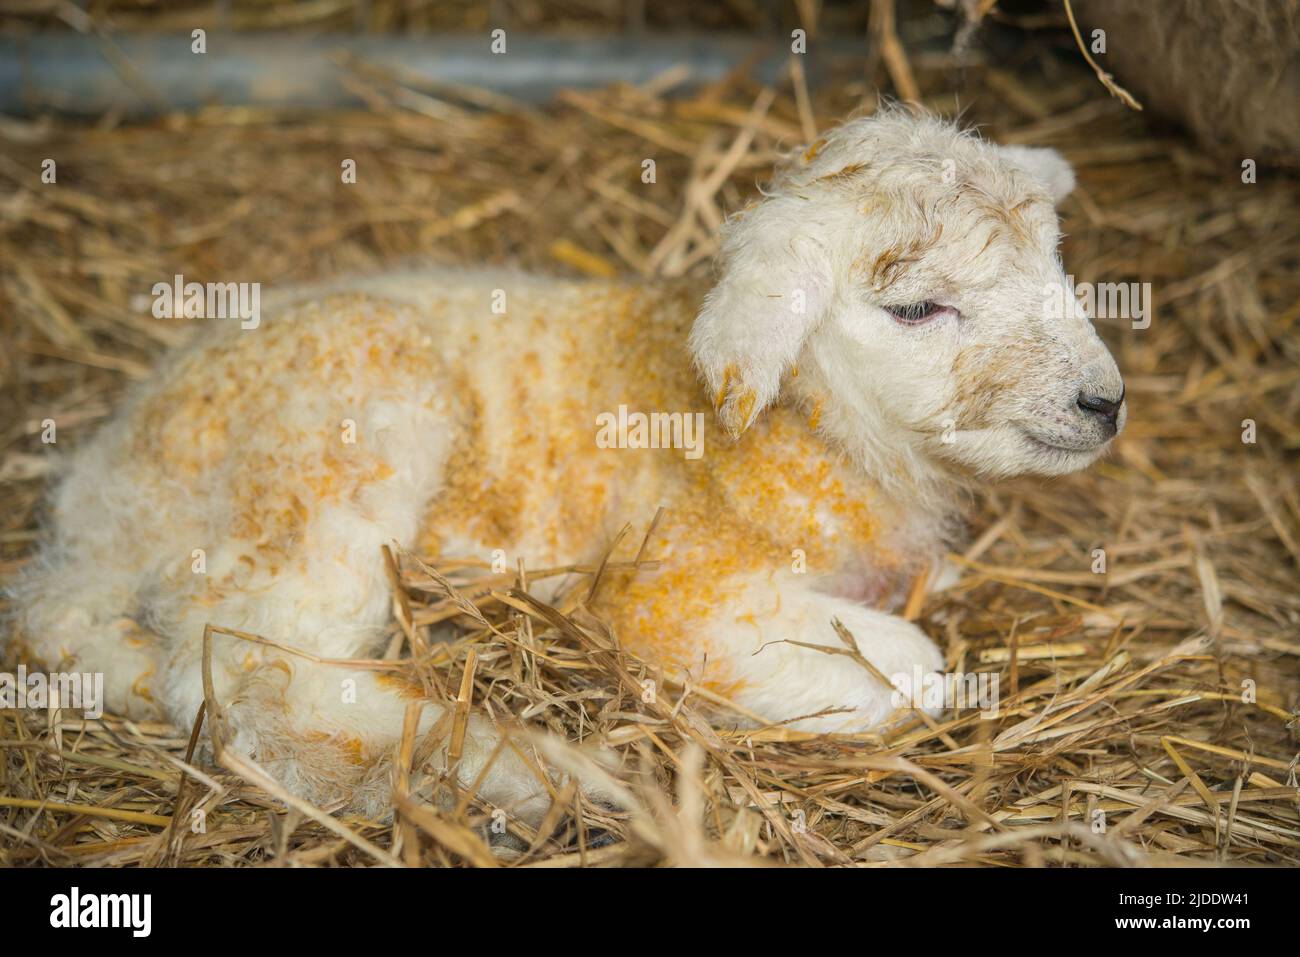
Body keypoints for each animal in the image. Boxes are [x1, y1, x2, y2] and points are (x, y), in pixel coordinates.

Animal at [5, 110, 1125, 825]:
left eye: (1056, 264)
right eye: (917, 308)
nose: (1104, 403)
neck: (806, 432)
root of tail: (92, 518)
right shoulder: (672, 593)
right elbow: (912, 667)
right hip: (338, 432)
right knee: (253, 674)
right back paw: (522, 778)